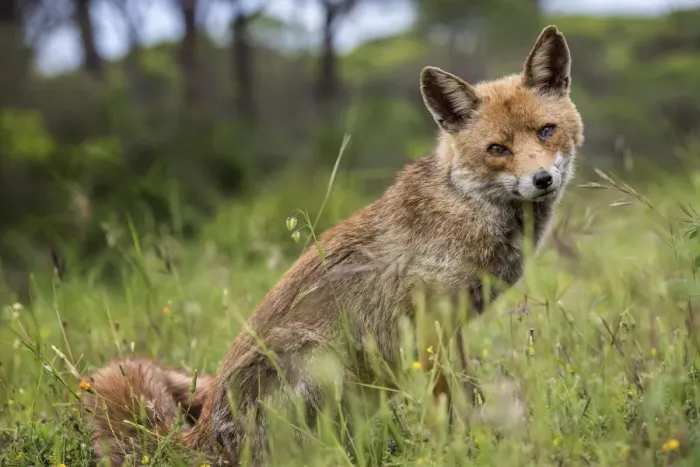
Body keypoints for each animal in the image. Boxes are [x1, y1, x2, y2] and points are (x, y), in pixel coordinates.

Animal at [80, 25, 584, 466]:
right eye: (497, 149)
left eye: (546, 131)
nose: (542, 179)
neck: (466, 205)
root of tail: (196, 440)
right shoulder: (430, 324)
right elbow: (449, 402)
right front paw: (458, 449)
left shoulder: (452, 326)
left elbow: (469, 391)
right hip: (322, 366)